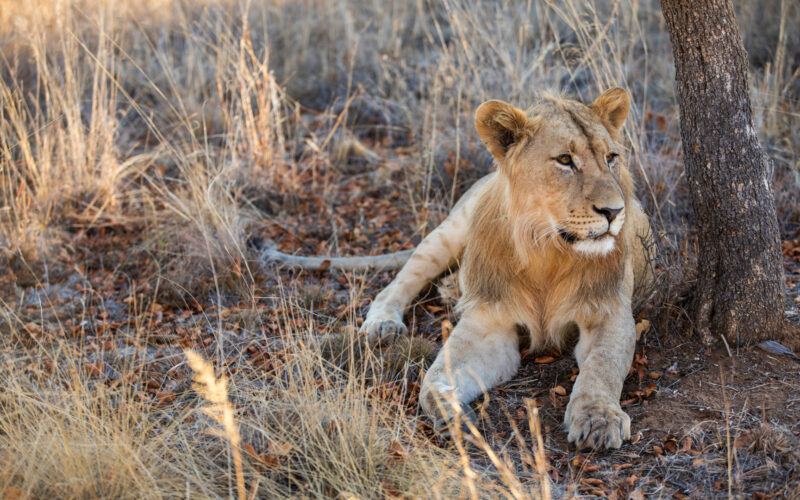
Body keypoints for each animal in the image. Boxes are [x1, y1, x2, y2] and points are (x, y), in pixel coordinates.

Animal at [261, 88, 654, 450]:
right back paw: (383, 324)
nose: (615, 211)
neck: (547, 254)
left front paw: (598, 418)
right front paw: (453, 417)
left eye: (611, 158)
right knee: (398, 283)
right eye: (565, 160)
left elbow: (601, 368)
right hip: (447, 233)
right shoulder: (489, 321)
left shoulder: (609, 313)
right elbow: (433, 379)